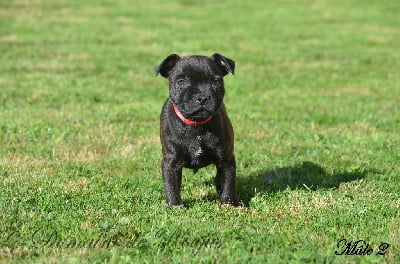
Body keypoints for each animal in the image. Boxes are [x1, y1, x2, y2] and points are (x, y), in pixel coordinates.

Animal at [155, 53, 238, 206]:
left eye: (216, 82)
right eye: (181, 82)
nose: (202, 97)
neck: (197, 125)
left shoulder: (226, 159)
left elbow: (229, 183)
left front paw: (230, 204)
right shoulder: (171, 162)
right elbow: (171, 185)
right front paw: (175, 206)